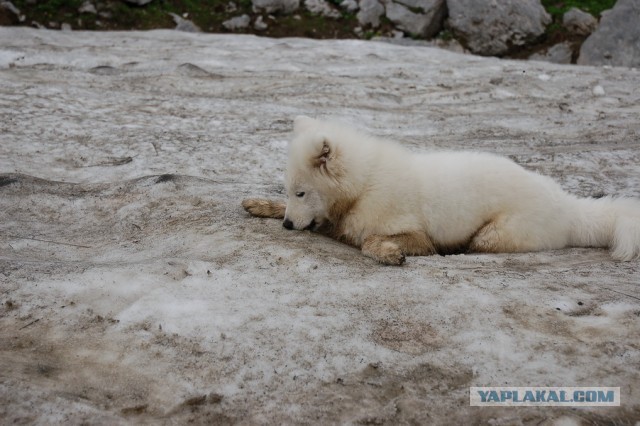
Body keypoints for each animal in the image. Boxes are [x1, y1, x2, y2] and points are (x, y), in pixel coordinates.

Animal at [242, 115, 640, 264]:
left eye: (302, 193)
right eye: (289, 190)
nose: (288, 227)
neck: (363, 184)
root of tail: (570, 206)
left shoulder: (415, 233)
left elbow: (373, 240)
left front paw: (388, 253)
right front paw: (259, 204)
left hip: (493, 234)